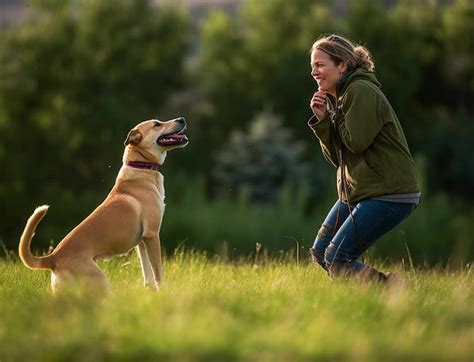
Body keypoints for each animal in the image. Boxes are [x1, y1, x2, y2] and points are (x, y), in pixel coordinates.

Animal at [18, 117, 189, 292]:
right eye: (157, 124)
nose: (181, 119)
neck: (141, 167)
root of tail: (53, 258)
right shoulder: (152, 235)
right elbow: (158, 273)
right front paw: (164, 292)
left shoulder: (142, 242)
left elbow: (147, 274)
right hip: (100, 279)